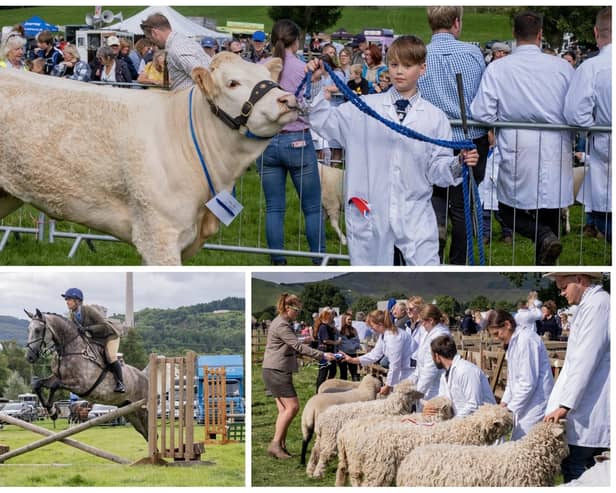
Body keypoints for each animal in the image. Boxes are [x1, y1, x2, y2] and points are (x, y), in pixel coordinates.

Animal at [24, 310, 150, 440]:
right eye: (29, 329)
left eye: (37, 330)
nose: (29, 357)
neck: (69, 350)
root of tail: (145, 377)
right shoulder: (56, 377)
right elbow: (37, 384)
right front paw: (52, 411)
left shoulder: (81, 384)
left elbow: (55, 386)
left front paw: (52, 411)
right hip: (130, 411)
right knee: (145, 433)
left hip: (142, 410)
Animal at [306, 376, 448, 476]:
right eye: (413, 391)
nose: (423, 394)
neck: (391, 405)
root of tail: (322, 419)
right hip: (330, 437)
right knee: (324, 454)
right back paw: (318, 473)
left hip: (323, 437)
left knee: (315, 450)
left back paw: (309, 470)